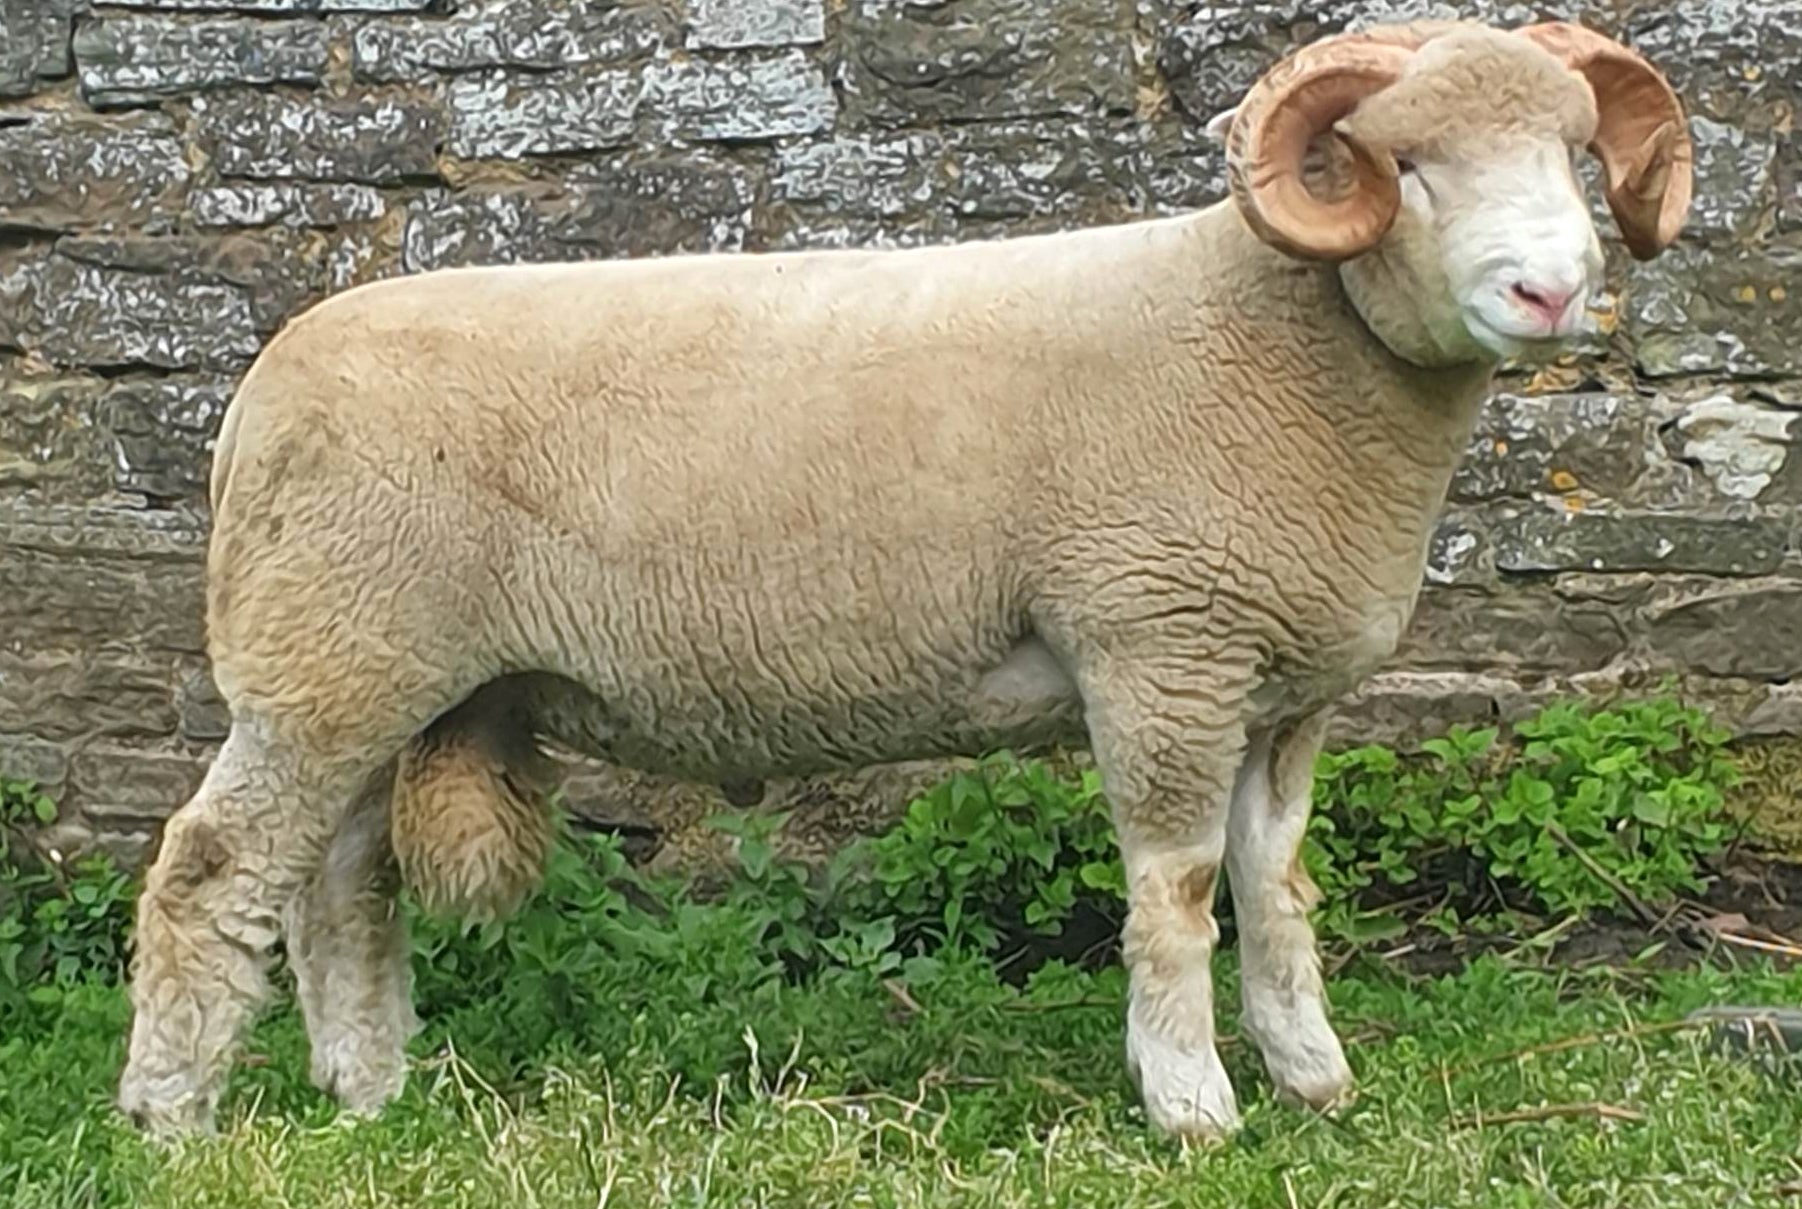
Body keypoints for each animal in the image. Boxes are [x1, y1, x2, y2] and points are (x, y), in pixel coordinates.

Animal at [115, 19, 1692, 1140]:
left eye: (1570, 152)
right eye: (1399, 161)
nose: (1551, 293)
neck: (1268, 341)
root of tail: (253, 394)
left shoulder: (1278, 685)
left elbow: (1275, 884)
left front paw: (1311, 1078)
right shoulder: (1157, 643)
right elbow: (1176, 889)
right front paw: (1192, 1106)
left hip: (370, 672)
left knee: (334, 887)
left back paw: (370, 1095)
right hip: (327, 655)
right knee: (211, 872)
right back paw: (172, 1119)